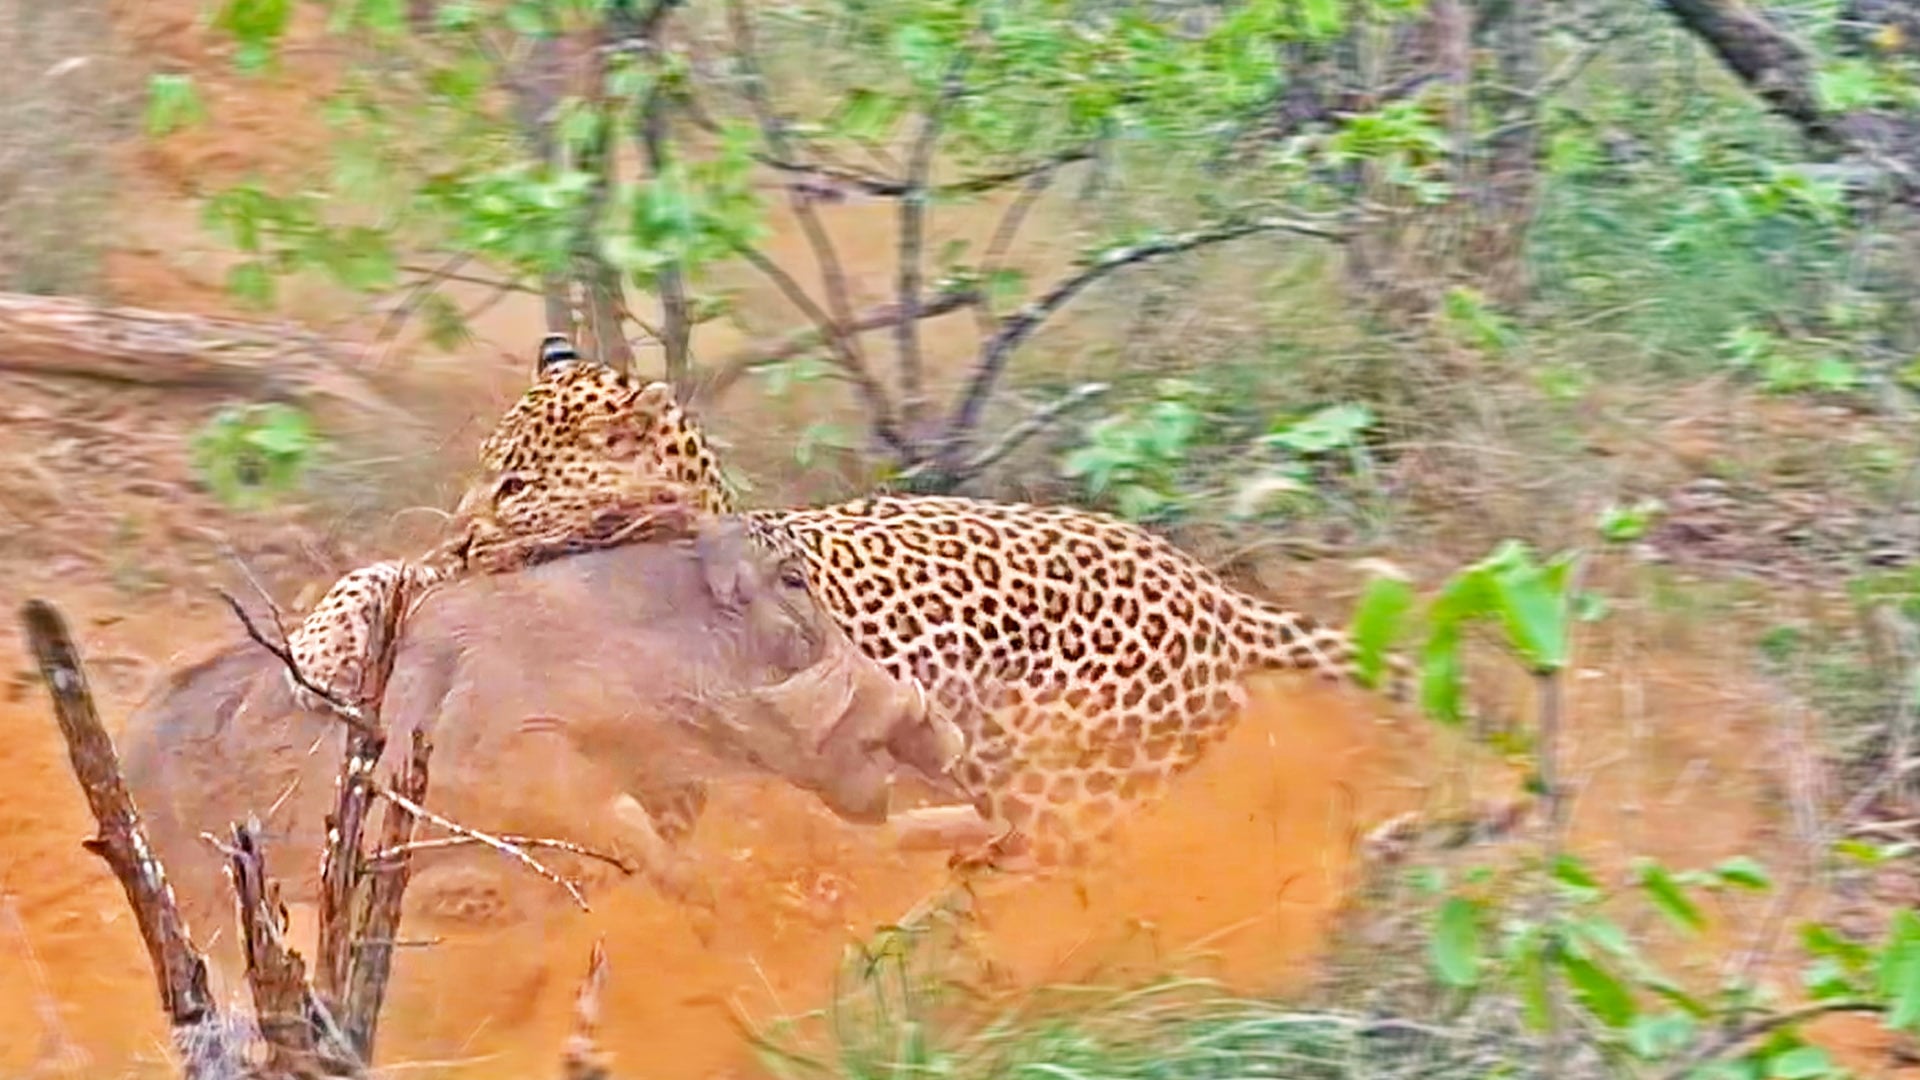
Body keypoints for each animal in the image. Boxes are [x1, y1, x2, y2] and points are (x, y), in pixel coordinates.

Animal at [287, 335, 1418, 868]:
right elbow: (388, 580)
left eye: (518, 481)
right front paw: (324, 641)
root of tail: (1212, 589)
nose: (463, 527)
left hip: (1075, 785)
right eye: (486, 474)